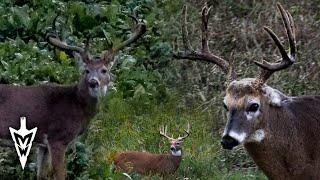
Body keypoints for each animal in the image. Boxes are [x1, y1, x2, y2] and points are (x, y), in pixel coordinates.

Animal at [0, 16, 146, 179]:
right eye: (86, 70)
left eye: (104, 70)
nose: (93, 82)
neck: (76, 104)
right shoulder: (58, 138)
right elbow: (60, 175)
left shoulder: (43, 145)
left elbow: (41, 175)